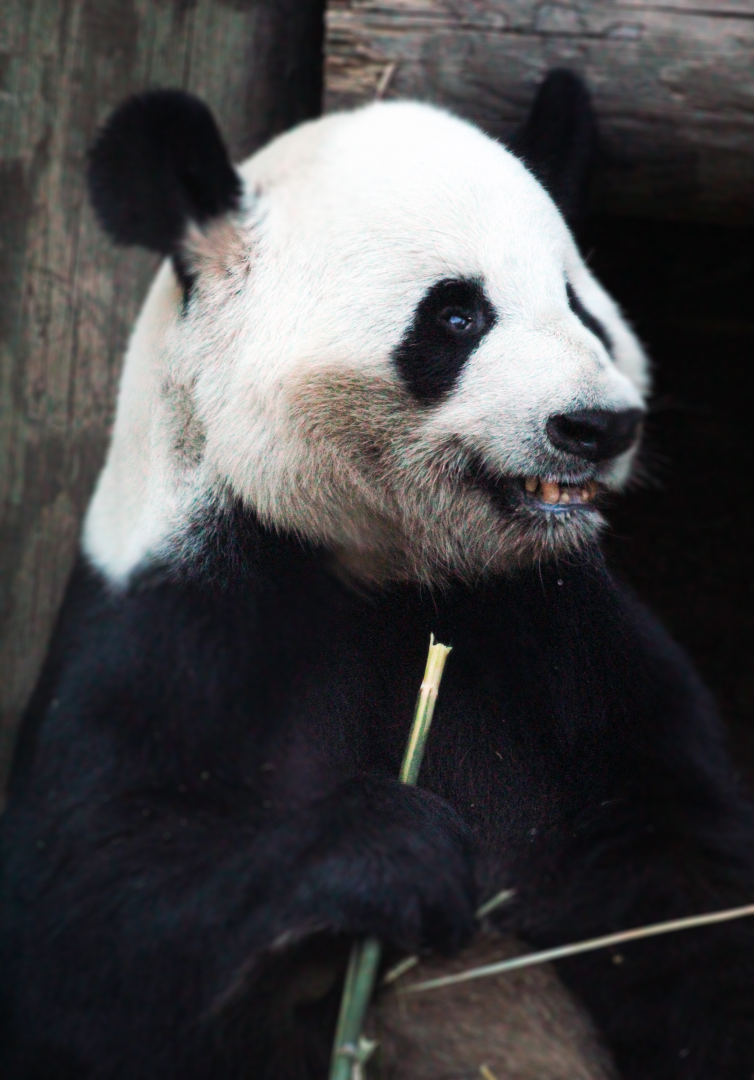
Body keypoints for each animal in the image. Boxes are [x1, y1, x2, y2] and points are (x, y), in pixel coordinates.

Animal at [2, 71, 754, 1080]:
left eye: (581, 305)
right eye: (457, 314)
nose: (598, 426)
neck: (387, 565)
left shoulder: (564, 632)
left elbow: (680, 876)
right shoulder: (179, 624)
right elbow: (78, 927)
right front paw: (396, 847)